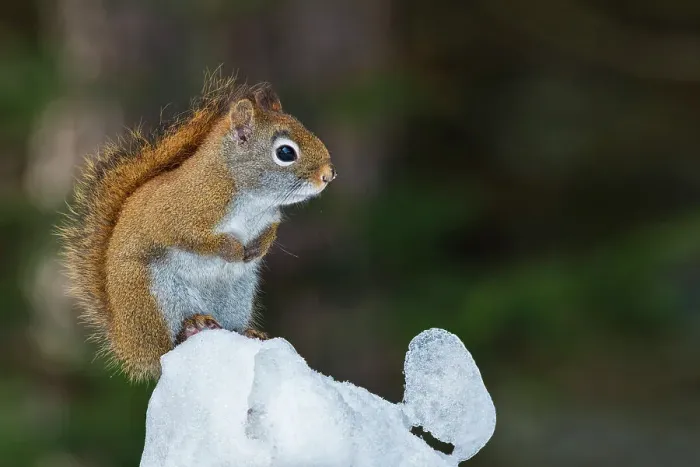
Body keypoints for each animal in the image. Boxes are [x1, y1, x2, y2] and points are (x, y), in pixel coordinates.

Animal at [59, 76, 335, 381]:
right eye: (285, 152)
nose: (329, 175)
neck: (252, 198)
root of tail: (128, 344)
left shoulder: (269, 218)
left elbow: (270, 231)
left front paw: (256, 249)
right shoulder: (183, 214)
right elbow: (196, 239)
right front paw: (233, 250)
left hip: (236, 296)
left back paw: (246, 332)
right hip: (153, 298)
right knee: (165, 347)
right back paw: (191, 327)